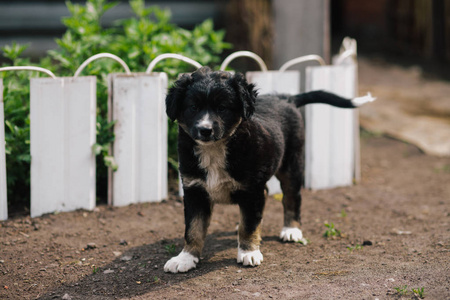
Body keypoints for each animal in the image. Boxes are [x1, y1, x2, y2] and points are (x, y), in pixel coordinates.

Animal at [163, 67, 374, 274]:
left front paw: (248, 252)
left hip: (291, 165)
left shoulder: (251, 189)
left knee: (292, 198)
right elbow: (193, 228)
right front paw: (185, 258)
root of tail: (286, 98)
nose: (205, 130)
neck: (215, 149)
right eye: (193, 107)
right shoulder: (194, 190)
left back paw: (291, 230)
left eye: (222, 108)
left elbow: (249, 225)